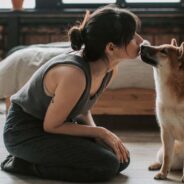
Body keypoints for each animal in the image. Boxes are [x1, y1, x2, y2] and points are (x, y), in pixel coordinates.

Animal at [141, 39, 184, 182]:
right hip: (165, 151)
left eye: (163, 51)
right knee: (166, 160)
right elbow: (166, 157)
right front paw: (162, 173)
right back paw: (157, 166)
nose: (142, 45)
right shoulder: (166, 131)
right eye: (159, 46)